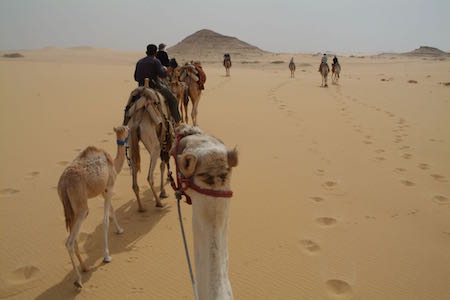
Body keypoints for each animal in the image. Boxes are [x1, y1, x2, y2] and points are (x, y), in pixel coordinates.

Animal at [57, 125, 129, 288]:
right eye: (126, 128)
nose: (129, 127)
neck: (113, 163)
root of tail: (63, 184)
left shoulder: (104, 190)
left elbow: (112, 210)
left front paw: (120, 230)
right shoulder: (109, 187)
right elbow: (105, 220)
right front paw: (107, 256)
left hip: (71, 208)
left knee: (73, 236)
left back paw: (85, 267)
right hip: (81, 206)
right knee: (69, 241)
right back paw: (78, 280)